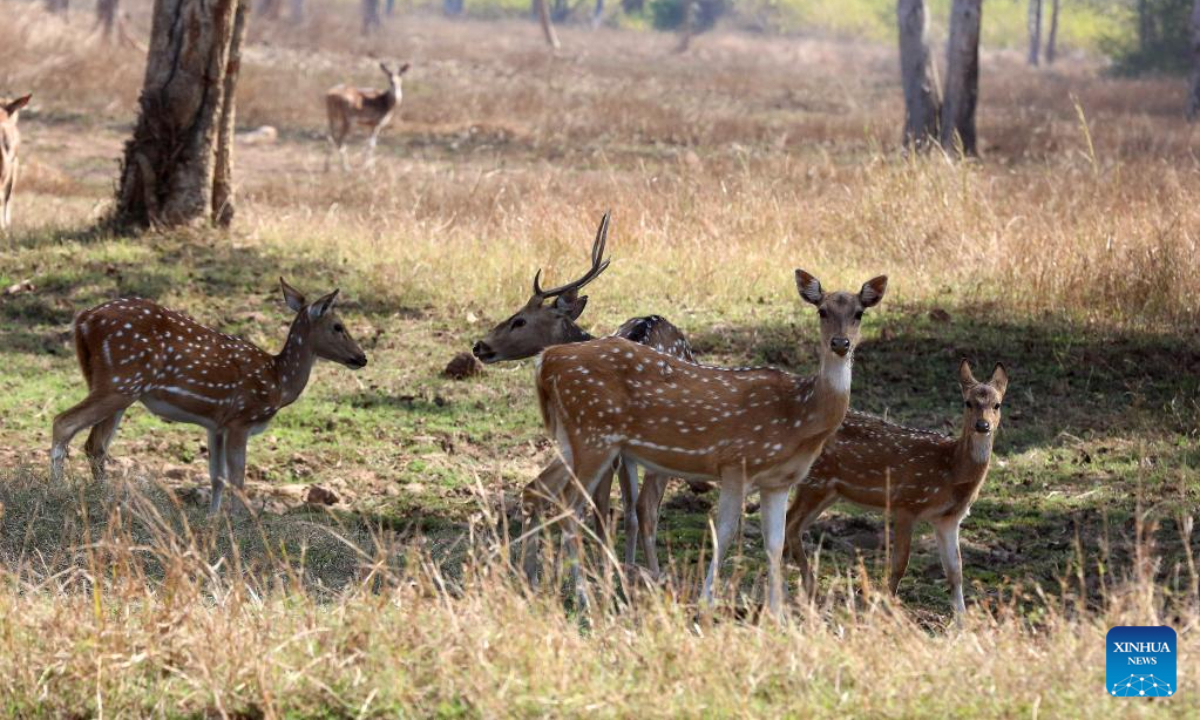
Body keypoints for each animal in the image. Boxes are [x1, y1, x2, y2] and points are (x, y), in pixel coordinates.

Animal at [51, 279, 367, 511]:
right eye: (338, 326)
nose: (361, 357)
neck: (279, 381)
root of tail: (84, 320)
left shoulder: (216, 425)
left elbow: (217, 477)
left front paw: (213, 521)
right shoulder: (241, 418)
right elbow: (238, 480)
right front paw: (240, 524)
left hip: (111, 384)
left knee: (95, 445)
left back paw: (101, 498)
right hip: (121, 382)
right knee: (64, 423)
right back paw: (57, 490)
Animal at [540, 270, 888, 612]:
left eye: (859, 313)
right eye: (822, 310)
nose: (840, 343)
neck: (801, 418)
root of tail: (547, 362)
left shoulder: (778, 482)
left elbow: (775, 543)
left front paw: (776, 613)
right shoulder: (736, 464)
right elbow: (725, 532)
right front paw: (706, 601)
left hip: (573, 439)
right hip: (593, 436)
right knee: (570, 508)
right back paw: (583, 600)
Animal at [782, 360, 1008, 612]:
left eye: (997, 404)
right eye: (968, 402)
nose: (982, 425)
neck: (951, 470)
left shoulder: (948, 519)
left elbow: (955, 572)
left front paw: (961, 619)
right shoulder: (906, 503)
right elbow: (900, 563)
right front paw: (885, 607)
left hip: (829, 491)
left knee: (791, 524)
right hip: (816, 481)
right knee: (791, 525)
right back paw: (806, 587)